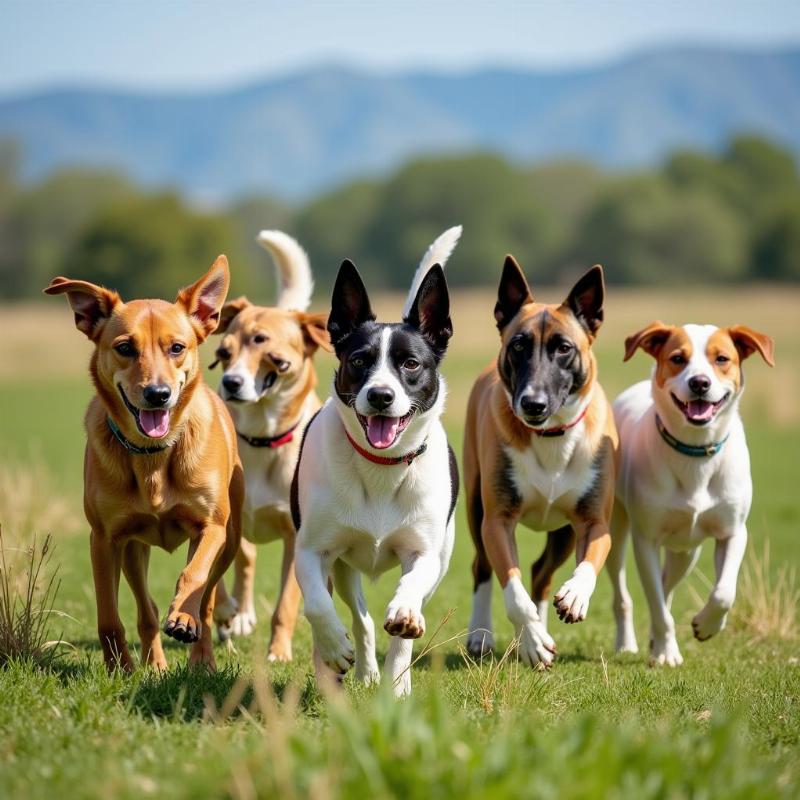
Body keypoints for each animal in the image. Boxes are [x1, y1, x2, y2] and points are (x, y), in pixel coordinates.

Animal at [43, 260, 242, 672]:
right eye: (125, 348)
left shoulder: (211, 527)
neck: (153, 455)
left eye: (177, 347)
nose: (158, 394)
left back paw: (201, 656)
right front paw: (119, 666)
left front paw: (182, 618)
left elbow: (193, 575)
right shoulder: (103, 538)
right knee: (145, 608)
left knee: (209, 599)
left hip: (230, 539)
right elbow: (107, 615)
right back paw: (156, 663)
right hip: (134, 549)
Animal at [290, 225, 460, 692]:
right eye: (359, 360)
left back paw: (397, 681)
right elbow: (316, 604)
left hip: (443, 559)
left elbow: (410, 593)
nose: (381, 395)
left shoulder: (424, 553)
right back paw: (361, 668)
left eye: (411, 363)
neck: (382, 467)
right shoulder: (312, 549)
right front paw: (334, 648)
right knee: (360, 617)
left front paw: (402, 623)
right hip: (346, 565)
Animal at [462, 258, 620, 668]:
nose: (532, 403)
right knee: (482, 567)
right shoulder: (497, 520)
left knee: (541, 573)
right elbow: (514, 592)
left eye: (564, 348)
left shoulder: (594, 520)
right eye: (519, 345)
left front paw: (575, 596)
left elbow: (591, 557)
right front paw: (533, 642)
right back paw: (482, 636)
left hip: (562, 533)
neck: (551, 435)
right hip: (474, 505)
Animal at [608, 322, 776, 664]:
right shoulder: (645, 540)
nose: (700, 382)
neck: (695, 452)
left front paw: (706, 625)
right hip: (616, 531)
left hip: (686, 551)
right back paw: (628, 642)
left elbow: (724, 592)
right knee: (625, 593)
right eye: (677, 358)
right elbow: (657, 607)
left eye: (722, 358)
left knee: (666, 583)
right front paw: (667, 653)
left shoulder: (733, 531)